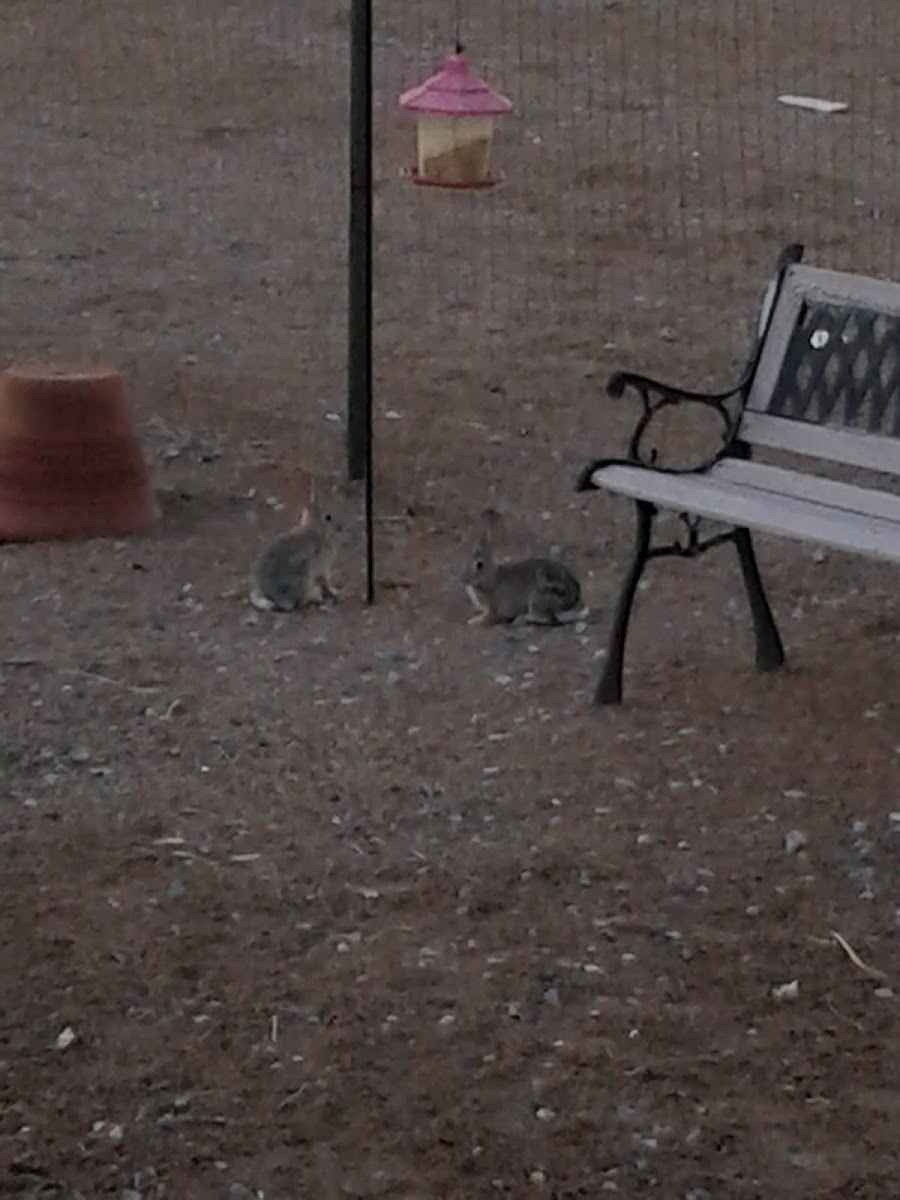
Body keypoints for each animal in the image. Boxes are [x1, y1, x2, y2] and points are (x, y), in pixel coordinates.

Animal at [248, 475, 340, 614]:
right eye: (328, 517)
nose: (339, 527)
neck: (315, 528)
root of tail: (264, 590)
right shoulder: (324, 566)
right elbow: (327, 581)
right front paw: (335, 591)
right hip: (303, 576)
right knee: (294, 604)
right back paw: (315, 595)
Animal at [460, 516, 588, 628]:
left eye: (479, 565)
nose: (463, 579)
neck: (491, 577)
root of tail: (573, 603)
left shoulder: (493, 607)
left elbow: (487, 616)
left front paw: (473, 621)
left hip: (537, 600)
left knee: (546, 618)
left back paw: (521, 619)